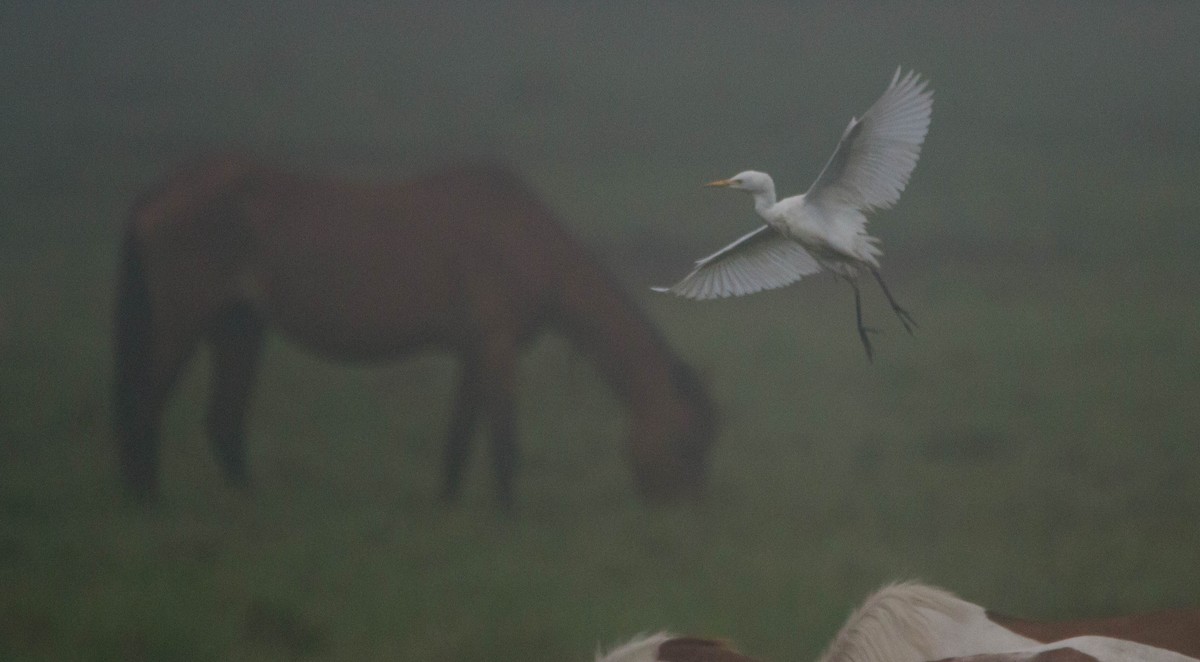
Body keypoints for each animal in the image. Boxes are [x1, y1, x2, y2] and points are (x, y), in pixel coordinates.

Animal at [112, 155, 715, 506]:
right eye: (687, 443)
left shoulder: (475, 353)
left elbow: (459, 438)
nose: (685, 515)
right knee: (146, 402)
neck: (527, 242)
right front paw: (508, 515)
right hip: (184, 323)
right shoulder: (497, 348)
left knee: (223, 421)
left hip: (238, 328)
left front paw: (448, 505)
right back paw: (146, 499)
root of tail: (156, 193)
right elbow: (503, 441)